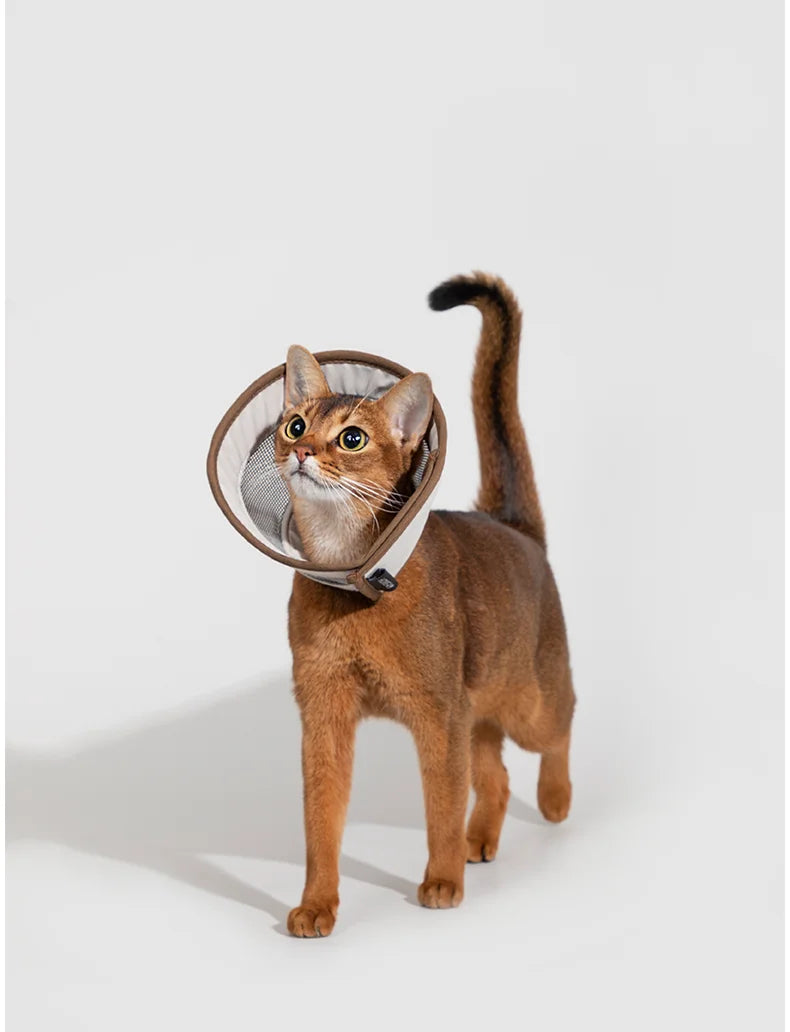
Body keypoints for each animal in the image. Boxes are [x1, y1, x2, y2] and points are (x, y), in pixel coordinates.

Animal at [275, 272, 575, 937]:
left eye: (351, 438)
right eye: (296, 426)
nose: (303, 453)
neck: (355, 587)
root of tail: (511, 525)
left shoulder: (438, 715)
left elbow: (440, 806)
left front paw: (441, 883)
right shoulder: (324, 715)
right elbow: (319, 822)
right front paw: (317, 906)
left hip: (525, 701)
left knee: (559, 728)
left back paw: (555, 800)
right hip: (478, 705)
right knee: (496, 773)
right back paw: (481, 840)